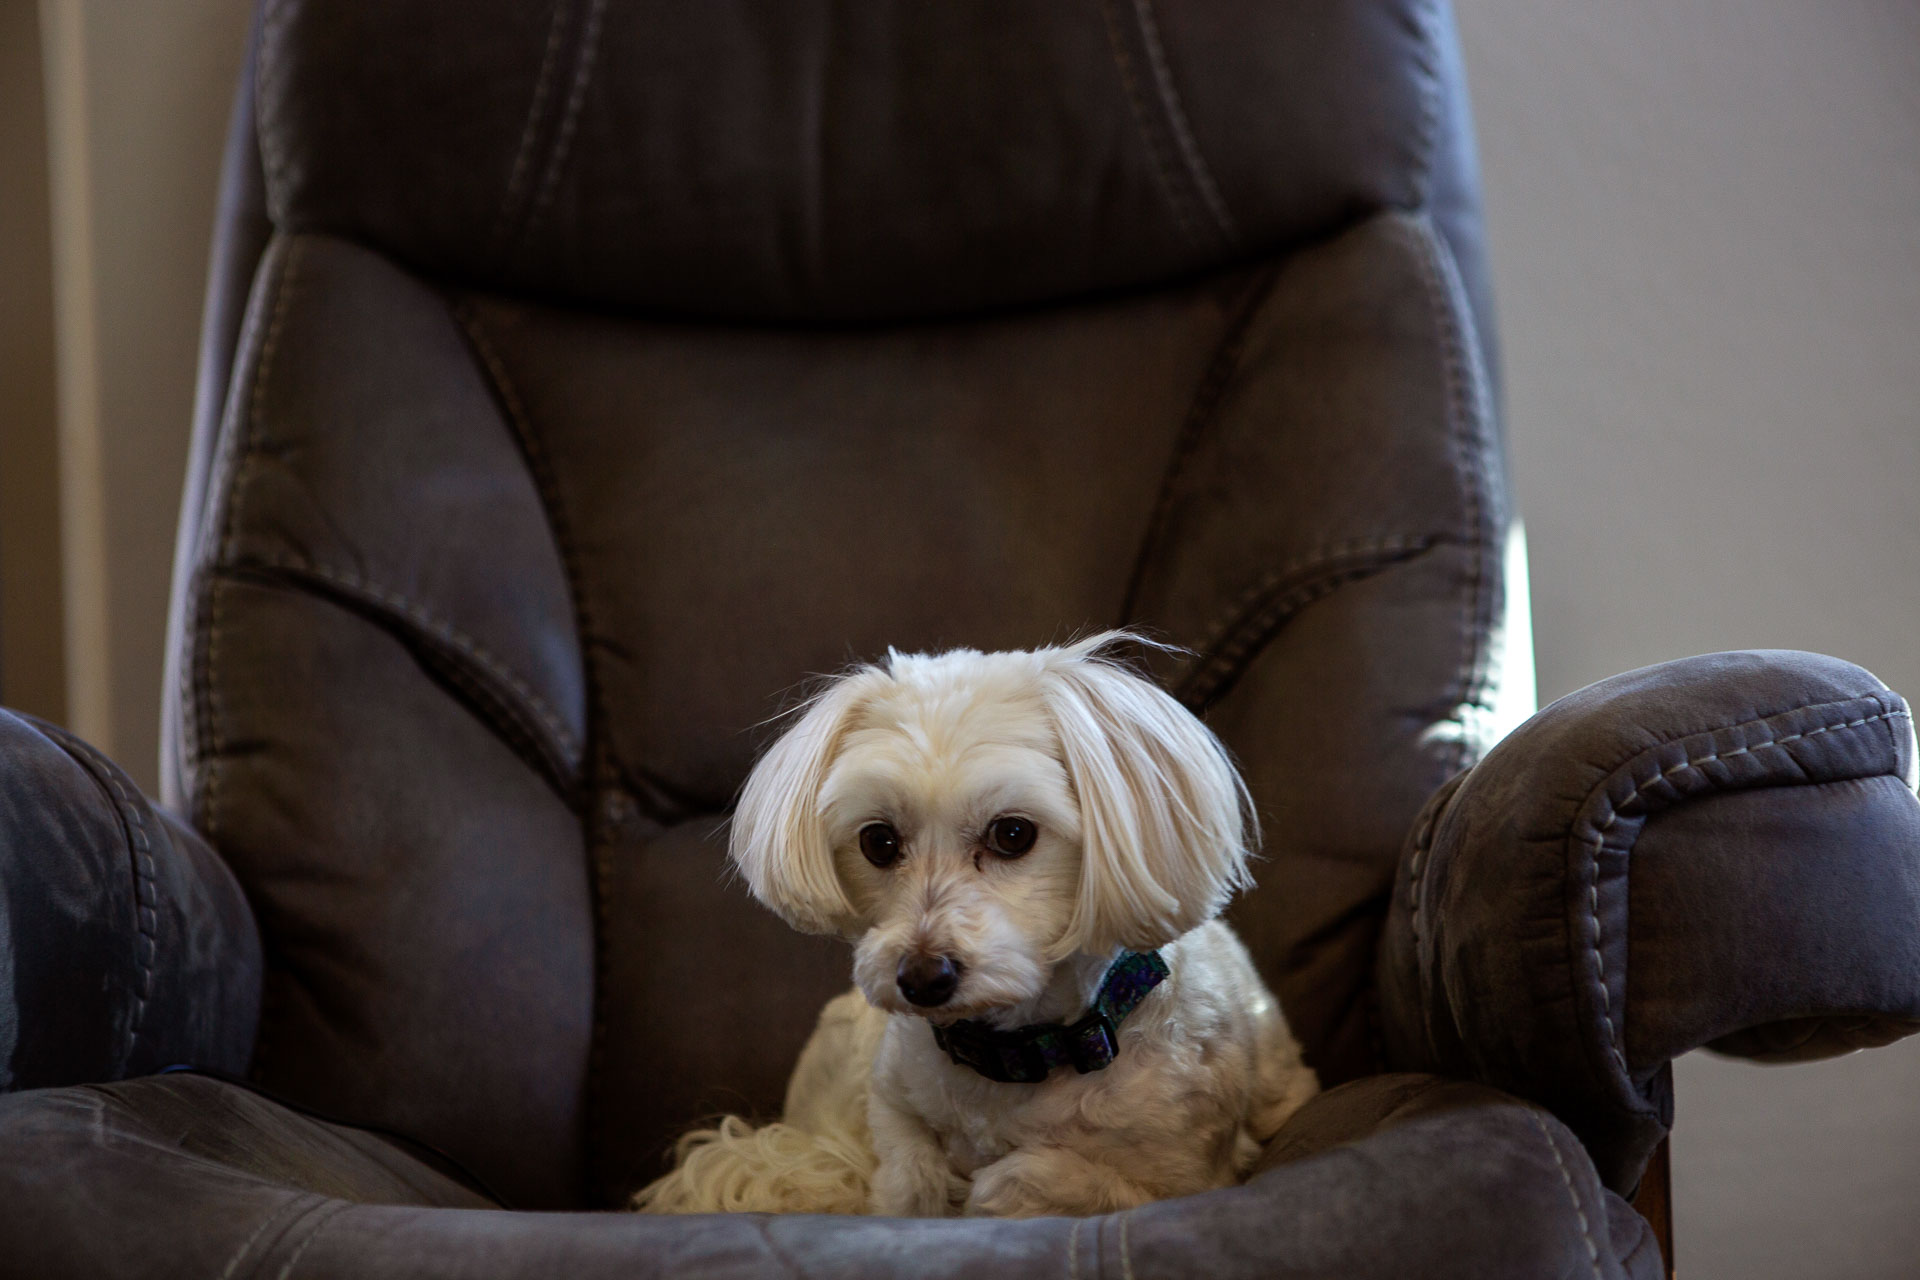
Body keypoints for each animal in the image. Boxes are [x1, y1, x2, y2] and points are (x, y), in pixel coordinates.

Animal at [637, 637, 1313, 1220]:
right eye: (878, 842)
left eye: (1013, 833)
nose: (921, 979)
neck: (1016, 1056)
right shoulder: (890, 1102)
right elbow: (906, 1178)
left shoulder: (1191, 1178)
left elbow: (1024, 1178)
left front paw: (990, 1187)